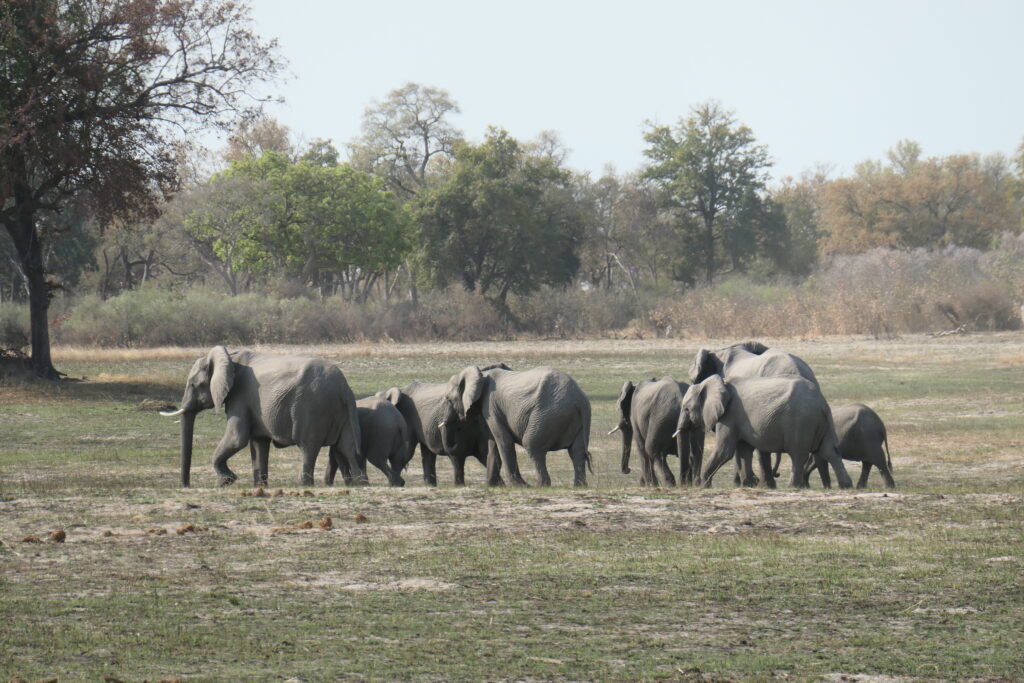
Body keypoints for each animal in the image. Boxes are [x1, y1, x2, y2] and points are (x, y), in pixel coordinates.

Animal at [157, 350, 366, 489]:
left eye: (194, 384)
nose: (186, 486)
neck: (229, 358)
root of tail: (344, 387)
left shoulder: (239, 396)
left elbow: (237, 438)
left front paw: (227, 481)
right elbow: (258, 443)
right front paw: (260, 486)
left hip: (313, 408)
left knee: (309, 446)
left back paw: (304, 484)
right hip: (341, 411)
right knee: (346, 446)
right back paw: (358, 483)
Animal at [442, 366, 593, 489]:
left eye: (448, 399)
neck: (481, 374)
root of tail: (579, 400)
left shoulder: (490, 405)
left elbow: (503, 441)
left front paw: (518, 486)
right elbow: (493, 442)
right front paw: (492, 486)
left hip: (548, 414)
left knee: (533, 446)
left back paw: (540, 486)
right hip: (573, 419)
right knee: (577, 451)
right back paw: (579, 486)